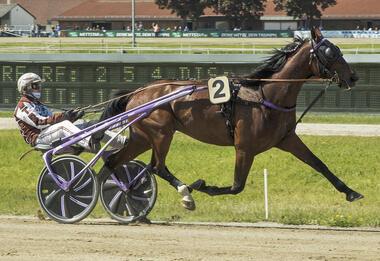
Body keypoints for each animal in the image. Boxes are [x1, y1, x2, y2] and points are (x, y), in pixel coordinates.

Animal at [94, 27, 362, 211]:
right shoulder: (245, 147)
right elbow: (236, 186)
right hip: (161, 133)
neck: (266, 96)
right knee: (157, 166)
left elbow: (319, 164)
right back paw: (185, 193)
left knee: (113, 163)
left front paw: (351, 192)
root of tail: (136, 93)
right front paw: (203, 186)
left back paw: (111, 194)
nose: (353, 77)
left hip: (142, 137)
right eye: (331, 52)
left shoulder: (287, 139)